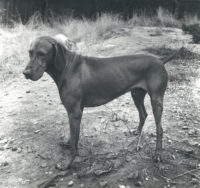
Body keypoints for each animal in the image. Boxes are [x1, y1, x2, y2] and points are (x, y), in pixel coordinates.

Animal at [23, 36, 178, 170]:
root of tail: (159, 60)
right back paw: (137, 131)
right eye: (30, 53)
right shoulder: (77, 111)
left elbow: (74, 142)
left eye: (42, 54)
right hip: (136, 94)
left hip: (156, 100)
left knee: (159, 129)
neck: (67, 67)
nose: (25, 73)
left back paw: (158, 154)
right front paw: (67, 143)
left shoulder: (74, 112)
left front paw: (67, 163)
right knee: (143, 114)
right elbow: (73, 136)